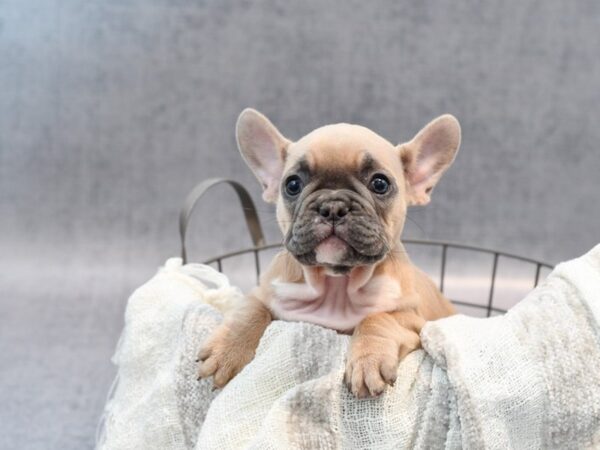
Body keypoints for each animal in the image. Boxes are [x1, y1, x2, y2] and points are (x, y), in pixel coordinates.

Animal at [197, 109, 460, 398]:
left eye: (380, 184)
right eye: (292, 184)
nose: (333, 206)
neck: (336, 284)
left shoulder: (412, 318)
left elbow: (378, 318)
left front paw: (369, 360)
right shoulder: (262, 293)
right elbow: (249, 312)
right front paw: (226, 350)